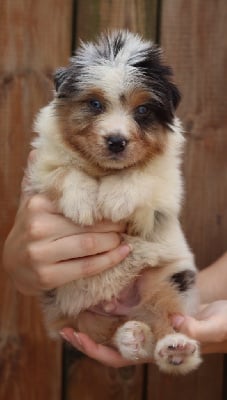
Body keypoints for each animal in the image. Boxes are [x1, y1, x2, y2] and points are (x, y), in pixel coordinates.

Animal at [25, 31, 201, 376]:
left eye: (142, 111)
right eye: (95, 104)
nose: (117, 141)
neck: (103, 169)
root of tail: (116, 306)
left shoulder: (166, 184)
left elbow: (140, 174)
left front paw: (115, 198)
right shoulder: (43, 163)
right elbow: (65, 170)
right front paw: (82, 202)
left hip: (169, 281)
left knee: (164, 319)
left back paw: (175, 349)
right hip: (76, 317)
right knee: (111, 336)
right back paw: (131, 337)